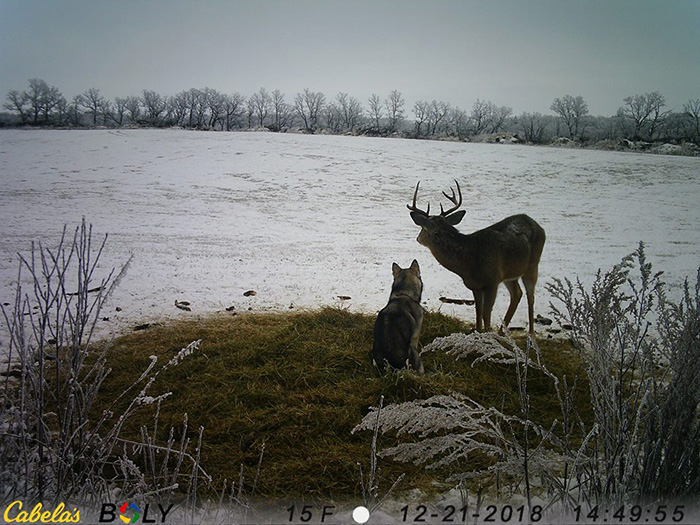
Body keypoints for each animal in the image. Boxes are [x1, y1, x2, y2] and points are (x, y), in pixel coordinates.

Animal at [404, 180, 548, 334]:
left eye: (423, 229)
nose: (418, 238)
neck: (469, 261)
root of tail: (537, 224)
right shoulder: (475, 285)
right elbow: (478, 312)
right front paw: (479, 331)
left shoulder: (492, 281)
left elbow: (486, 313)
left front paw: (487, 333)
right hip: (511, 274)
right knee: (517, 294)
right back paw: (501, 332)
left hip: (532, 265)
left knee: (530, 296)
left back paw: (530, 333)